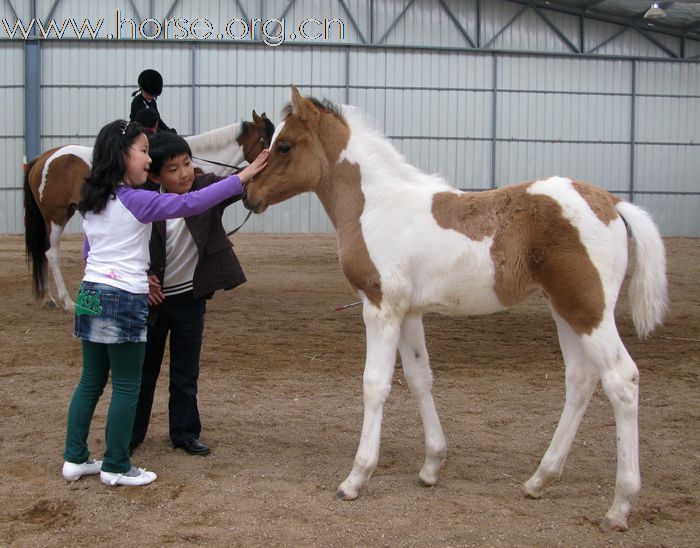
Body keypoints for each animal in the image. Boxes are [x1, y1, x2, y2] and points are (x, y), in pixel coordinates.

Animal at [22, 111, 274, 310]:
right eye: (267, 140)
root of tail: (44, 158)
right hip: (56, 216)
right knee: (51, 254)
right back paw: (66, 301)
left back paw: (49, 298)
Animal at [243, 86, 668, 532]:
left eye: (284, 146)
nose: (248, 195)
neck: (377, 204)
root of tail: (612, 202)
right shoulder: (409, 312)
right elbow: (419, 378)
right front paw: (431, 466)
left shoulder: (380, 306)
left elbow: (375, 384)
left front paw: (355, 478)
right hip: (565, 309)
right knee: (581, 380)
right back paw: (539, 480)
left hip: (589, 310)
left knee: (622, 380)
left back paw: (619, 506)